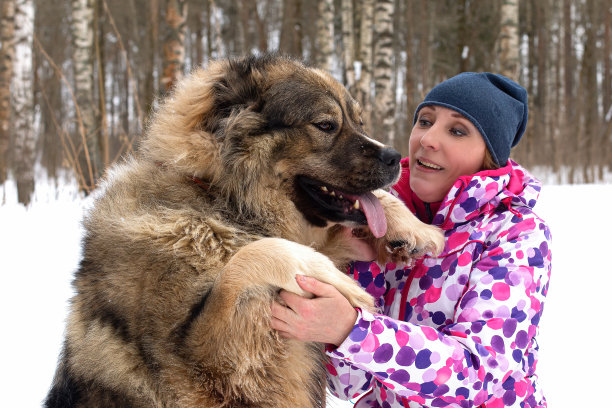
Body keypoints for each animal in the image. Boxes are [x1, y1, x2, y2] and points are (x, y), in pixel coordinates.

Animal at [45, 55, 442, 408]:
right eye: (327, 125)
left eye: (358, 122)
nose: (394, 157)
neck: (219, 200)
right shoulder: (200, 362)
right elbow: (252, 256)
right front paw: (331, 276)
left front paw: (414, 228)